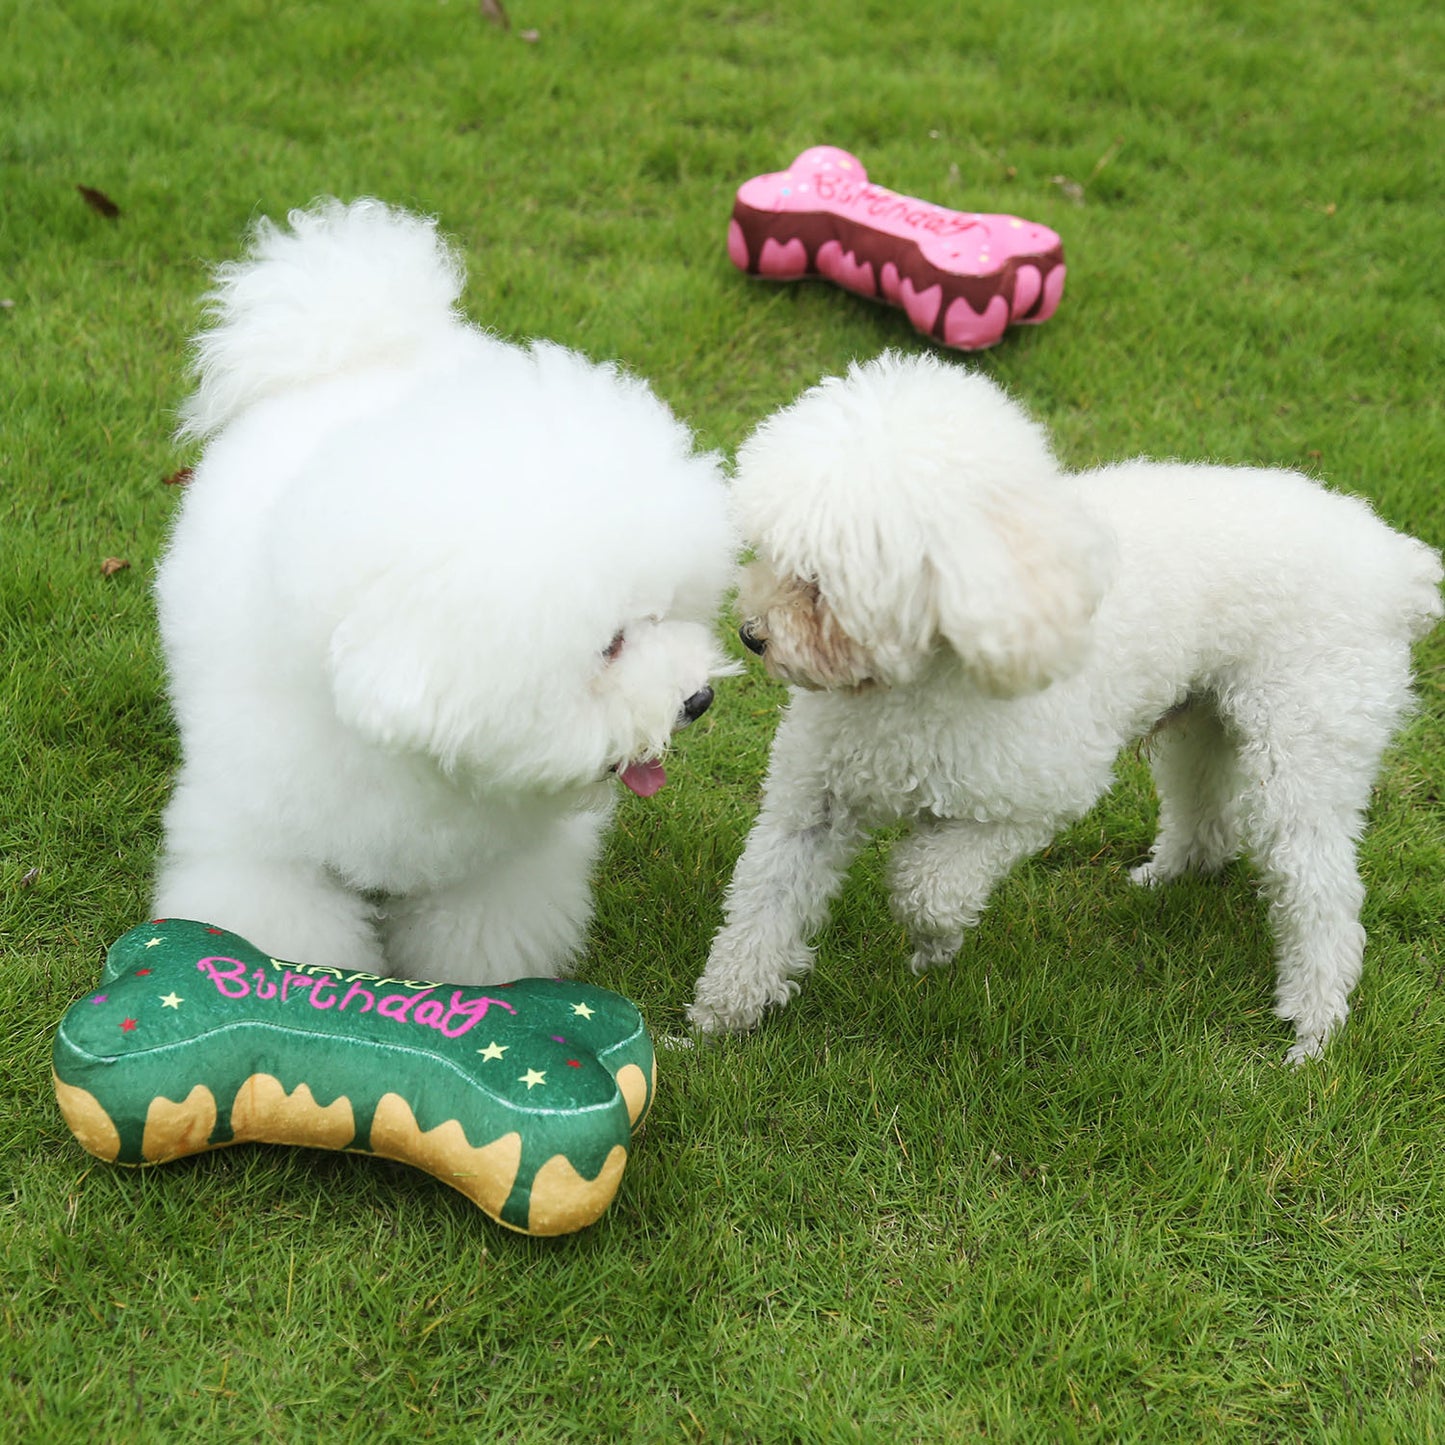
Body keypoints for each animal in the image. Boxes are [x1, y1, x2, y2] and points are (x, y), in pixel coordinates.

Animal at [155, 200, 734, 982]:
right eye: (608, 646)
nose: (696, 700)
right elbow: (281, 924)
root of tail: (363, 346)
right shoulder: (262, 839)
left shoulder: (491, 870)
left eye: (667, 613)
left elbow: (479, 932)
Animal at [690, 343, 1445, 1057]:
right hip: (1204, 719)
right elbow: (760, 906)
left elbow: (928, 883)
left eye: (819, 581)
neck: (911, 680)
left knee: (1323, 889)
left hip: (1306, 746)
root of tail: (1395, 565)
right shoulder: (810, 802)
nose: (751, 635)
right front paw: (712, 1026)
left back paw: (1314, 1024)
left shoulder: (1036, 796)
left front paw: (933, 944)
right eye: (768, 552)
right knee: (1206, 816)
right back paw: (1169, 874)